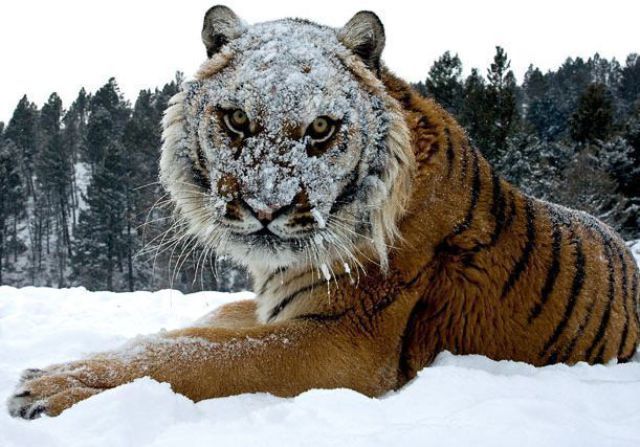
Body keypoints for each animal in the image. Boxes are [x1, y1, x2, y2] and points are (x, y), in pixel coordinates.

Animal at [7, 6, 636, 420]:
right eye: (237, 119)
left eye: (321, 128)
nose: (265, 206)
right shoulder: (274, 305)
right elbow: (183, 334)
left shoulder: (341, 340)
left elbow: (196, 358)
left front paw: (48, 387)